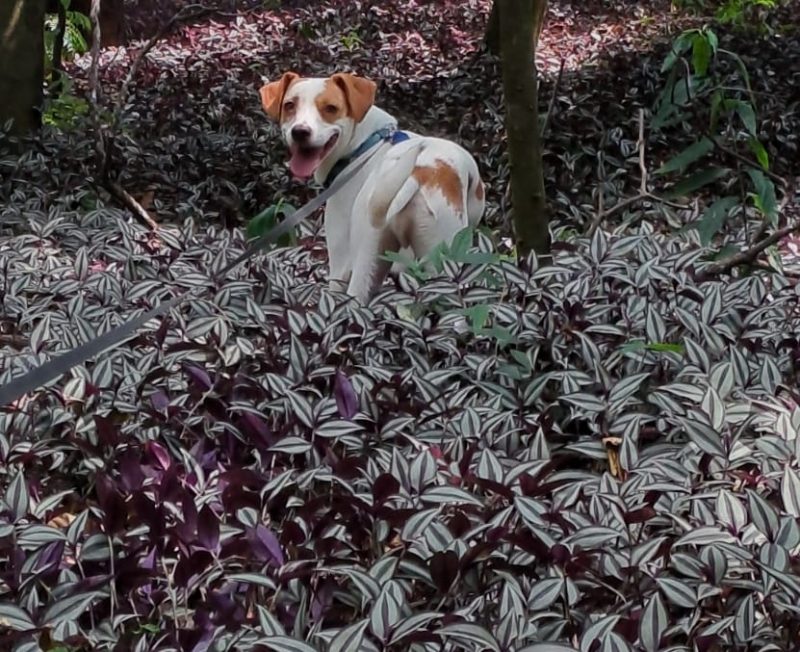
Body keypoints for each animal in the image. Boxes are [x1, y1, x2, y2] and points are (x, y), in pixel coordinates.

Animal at [259, 71, 485, 302]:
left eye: (331, 108)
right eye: (289, 105)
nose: (300, 132)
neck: (365, 145)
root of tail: (417, 174)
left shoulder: (340, 260)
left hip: (365, 260)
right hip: (443, 265)